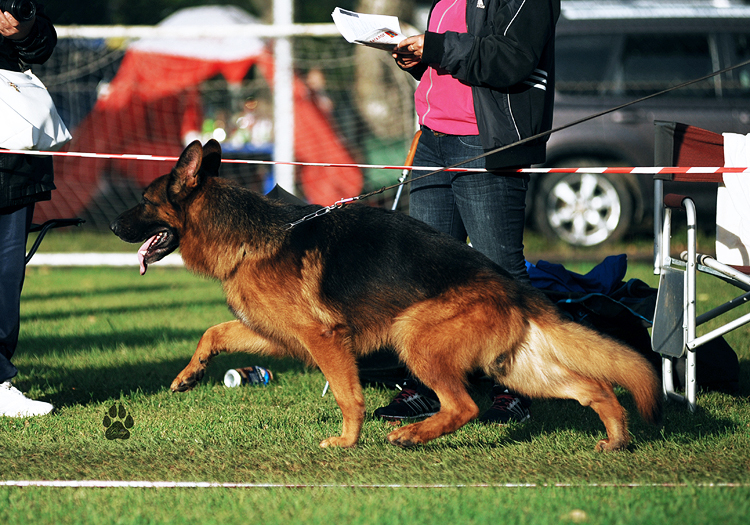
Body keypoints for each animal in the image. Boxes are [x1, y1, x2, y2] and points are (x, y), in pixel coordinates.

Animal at [111, 139, 664, 450]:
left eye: (143, 200)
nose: (114, 225)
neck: (247, 236)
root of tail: (511, 284)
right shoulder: (281, 338)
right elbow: (214, 331)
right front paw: (188, 375)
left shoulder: (325, 340)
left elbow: (348, 395)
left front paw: (347, 442)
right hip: (517, 368)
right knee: (594, 388)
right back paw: (616, 440)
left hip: (415, 338)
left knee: (465, 406)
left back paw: (413, 434)